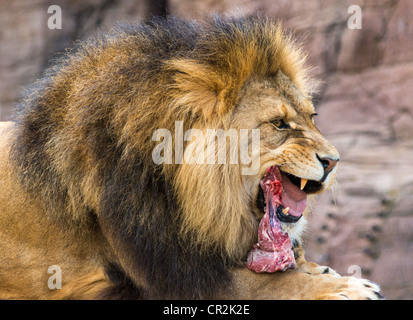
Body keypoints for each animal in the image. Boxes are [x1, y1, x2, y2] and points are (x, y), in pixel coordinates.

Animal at [0, 15, 380, 300]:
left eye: (312, 117)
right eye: (279, 124)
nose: (334, 161)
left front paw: (321, 269)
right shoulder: (176, 275)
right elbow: (272, 283)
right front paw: (349, 287)